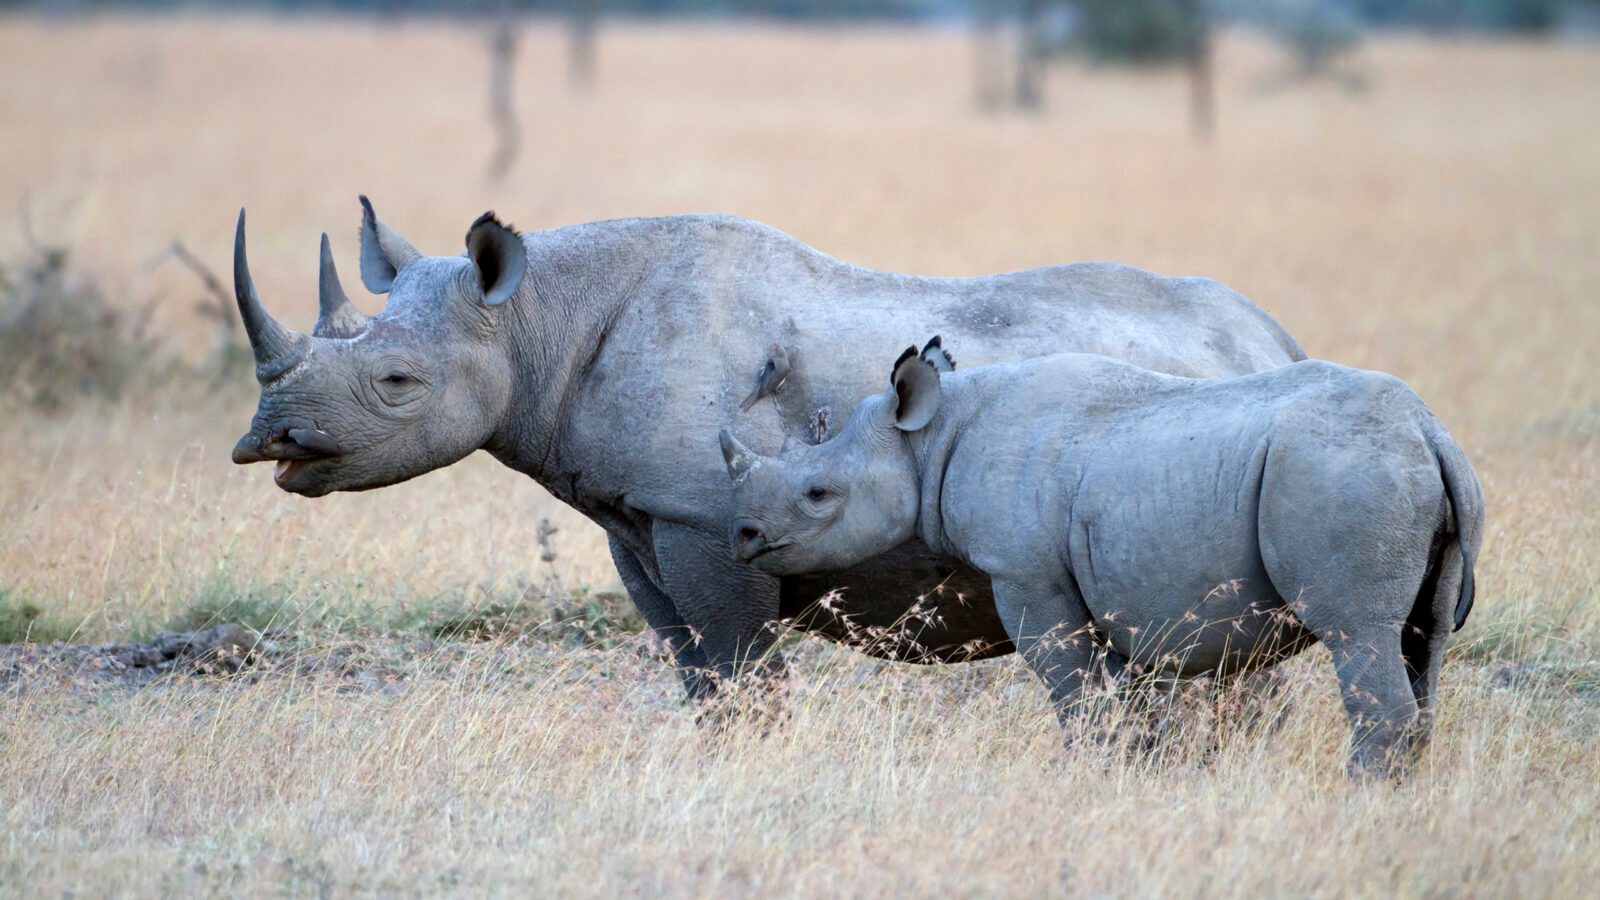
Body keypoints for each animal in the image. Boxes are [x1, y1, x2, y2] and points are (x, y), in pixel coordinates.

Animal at [228, 198, 1306, 699]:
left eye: (396, 385)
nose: (264, 441)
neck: (533, 319)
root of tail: (1276, 337)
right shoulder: (638, 518)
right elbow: (693, 667)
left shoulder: (707, 515)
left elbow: (738, 666)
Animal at [719, 339, 1483, 776]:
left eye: (818, 494)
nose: (745, 537)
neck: (930, 437)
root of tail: (1430, 432)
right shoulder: (1118, 592)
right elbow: (1129, 708)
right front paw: (1133, 778)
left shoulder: (1027, 575)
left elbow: (1074, 693)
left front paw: (1081, 777)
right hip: (1410, 479)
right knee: (1423, 641)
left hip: (1344, 473)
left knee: (1357, 632)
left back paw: (1361, 799)